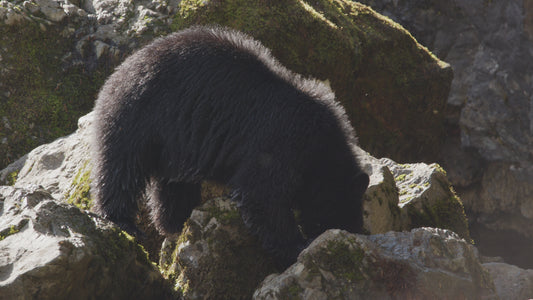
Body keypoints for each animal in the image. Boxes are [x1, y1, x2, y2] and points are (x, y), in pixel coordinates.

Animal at [89, 25, 368, 264]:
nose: (356, 232)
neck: (322, 149)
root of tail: (119, 70)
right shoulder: (281, 142)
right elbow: (262, 194)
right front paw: (296, 246)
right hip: (137, 116)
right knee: (121, 168)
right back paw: (124, 221)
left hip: (173, 144)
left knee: (171, 187)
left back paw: (175, 222)